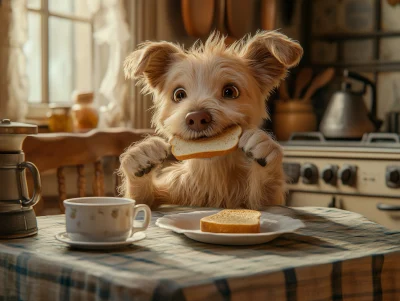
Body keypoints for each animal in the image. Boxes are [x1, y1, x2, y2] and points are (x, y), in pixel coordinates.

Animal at [119, 30, 304, 209]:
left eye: (230, 91)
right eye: (179, 94)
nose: (196, 118)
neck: (212, 173)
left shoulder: (266, 199)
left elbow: (267, 196)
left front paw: (264, 147)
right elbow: (142, 199)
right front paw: (141, 155)